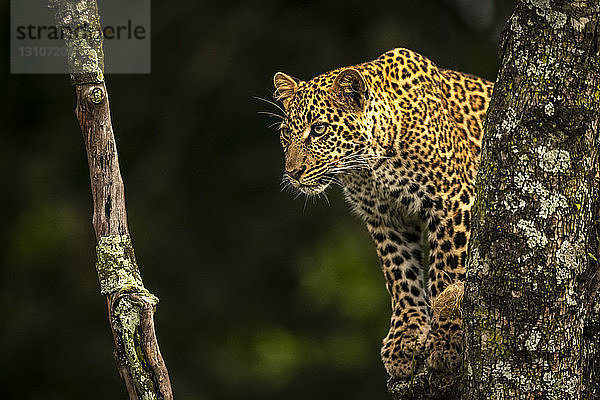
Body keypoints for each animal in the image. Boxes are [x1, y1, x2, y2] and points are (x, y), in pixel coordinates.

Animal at [270, 48, 492, 380]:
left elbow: (448, 273)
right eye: (286, 133)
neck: (369, 167)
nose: (292, 173)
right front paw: (405, 338)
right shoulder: (385, 219)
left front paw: (448, 338)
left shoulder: (454, 201)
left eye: (319, 129)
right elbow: (399, 274)